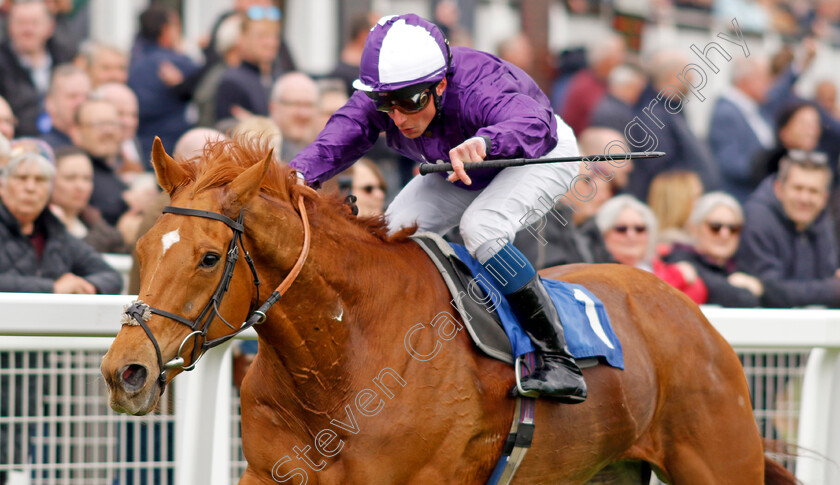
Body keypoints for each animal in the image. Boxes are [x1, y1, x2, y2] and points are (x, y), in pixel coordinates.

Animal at [100, 137, 796, 484]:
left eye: (209, 257)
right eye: (142, 247)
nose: (125, 371)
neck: (341, 360)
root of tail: (690, 313)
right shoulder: (272, 476)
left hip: (719, 463)